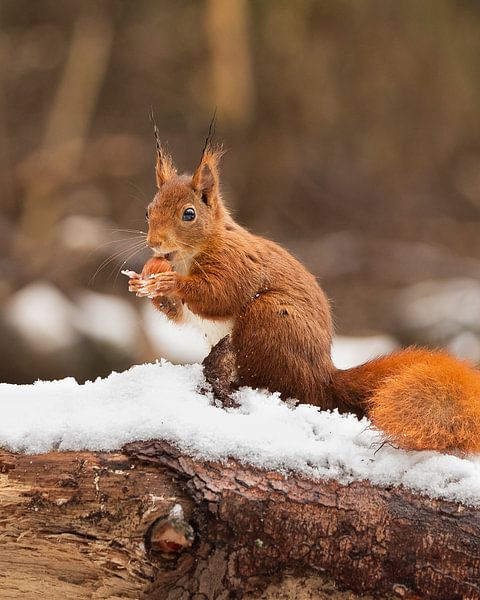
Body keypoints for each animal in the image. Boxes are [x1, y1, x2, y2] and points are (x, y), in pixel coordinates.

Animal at [126, 136, 480, 454]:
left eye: (189, 214)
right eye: (147, 211)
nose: (154, 243)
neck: (188, 257)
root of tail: (323, 377)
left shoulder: (237, 264)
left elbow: (220, 294)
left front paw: (169, 283)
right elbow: (180, 313)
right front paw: (144, 283)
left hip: (270, 318)